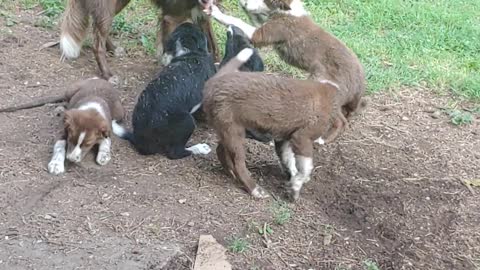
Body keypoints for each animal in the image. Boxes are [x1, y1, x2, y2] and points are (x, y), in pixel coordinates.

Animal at [60, 0, 219, 81]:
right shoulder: (171, 18)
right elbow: (168, 54)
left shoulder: (203, 16)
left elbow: (214, 47)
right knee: (97, 42)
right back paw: (107, 74)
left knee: (97, 29)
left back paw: (113, 49)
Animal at [204, 48, 346, 200]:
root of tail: (214, 81)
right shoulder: (302, 137)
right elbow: (306, 166)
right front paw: (296, 188)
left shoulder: (285, 138)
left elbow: (288, 160)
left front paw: (293, 179)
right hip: (234, 131)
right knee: (238, 164)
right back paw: (255, 189)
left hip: (229, 130)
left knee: (220, 150)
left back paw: (230, 173)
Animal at [212, 0, 366, 119]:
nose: (243, 1)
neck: (288, 11)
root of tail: (360, 85)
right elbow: (254, 17)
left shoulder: (265, 33)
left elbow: (237, 20)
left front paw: (215, 11)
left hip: (324, 84)